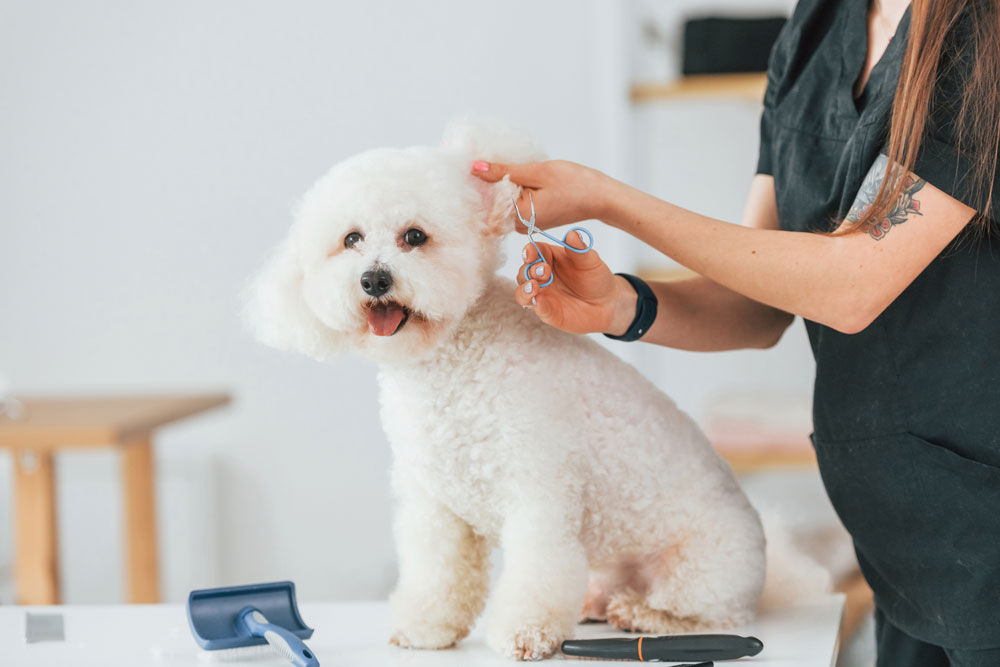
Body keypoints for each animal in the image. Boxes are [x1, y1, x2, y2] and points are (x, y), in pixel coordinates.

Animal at [246, 122, 768, 660]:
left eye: (414, 236)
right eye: (351, 239)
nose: (374, 279)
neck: (451, 368)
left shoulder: (538, 492)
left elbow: (536, 572)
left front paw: (526, 633)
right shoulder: (434, 505)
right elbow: (437, 573)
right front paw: (425, 628)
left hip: (702, 570)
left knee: (708, 614)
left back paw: (642, 613)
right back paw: (598, 603)